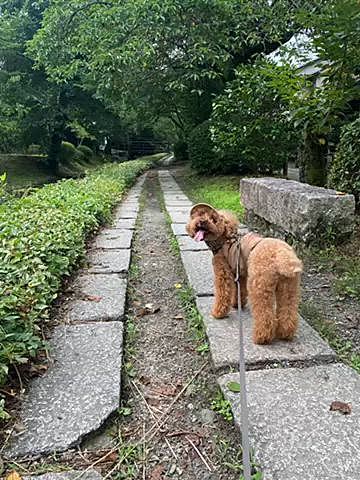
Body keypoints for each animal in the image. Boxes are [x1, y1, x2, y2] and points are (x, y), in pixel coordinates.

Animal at [187, 202, 302, 344]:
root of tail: (283, 254)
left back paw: (261, 337)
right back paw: (285, 333)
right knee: (288, 311)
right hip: (289, 287)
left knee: (265, 315)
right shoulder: (240, 273)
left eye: (213, 219)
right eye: (199, 215)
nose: (202, 221)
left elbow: (223, 294)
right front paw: (237, 305)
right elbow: (239, 291)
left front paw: (218, 313)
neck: (224, 240)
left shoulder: (223, 272)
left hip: (259, 286)